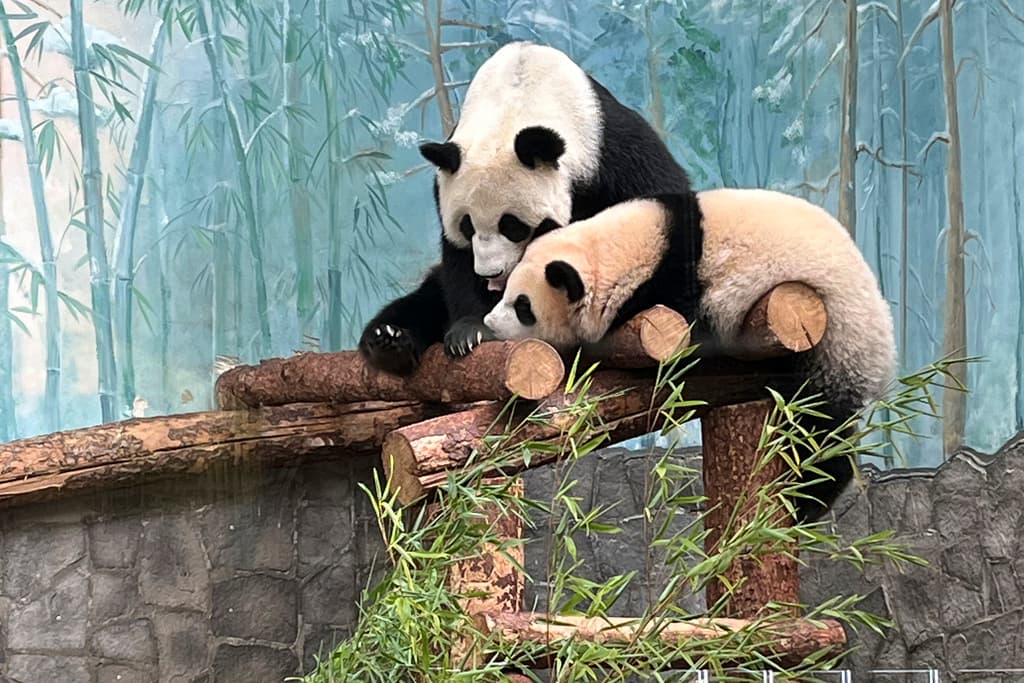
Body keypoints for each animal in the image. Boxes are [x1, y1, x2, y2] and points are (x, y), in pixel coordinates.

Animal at [358, 41, 700, 376]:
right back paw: (389, 339)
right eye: (467, 226)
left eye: (512, 225)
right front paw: (471, 331)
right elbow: (456, 261)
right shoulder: (445, 185)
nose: (491, 273)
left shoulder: (613, 152)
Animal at [483, 188, 898, 522]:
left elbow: (683, 347)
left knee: (818, 430)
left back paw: (808, 500)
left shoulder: (680, 288)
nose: (490, 323)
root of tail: (886, 355)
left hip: (834, 340)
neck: (628, 249)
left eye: (523, 307)